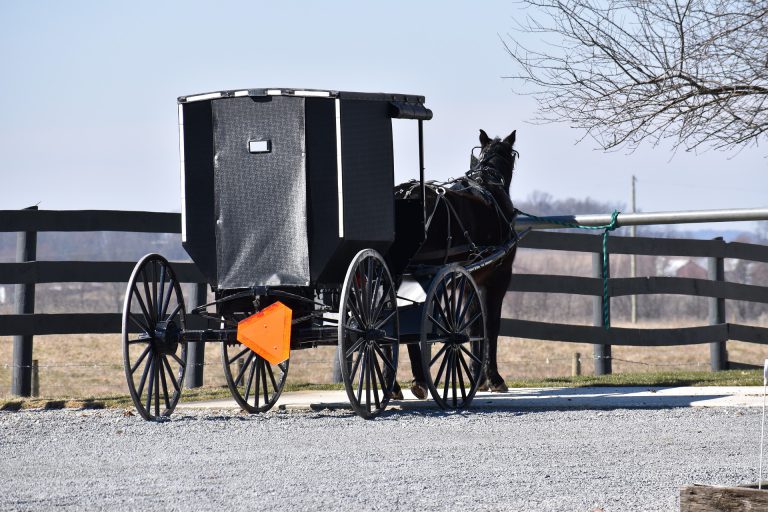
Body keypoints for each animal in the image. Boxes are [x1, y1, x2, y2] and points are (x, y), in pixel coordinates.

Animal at [392, 129, 520, 400]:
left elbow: (475, 325)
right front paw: (494, 378)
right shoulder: (499, 278)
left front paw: (477, 377)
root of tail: (403, 194)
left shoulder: (473, 279)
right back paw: (418, 380)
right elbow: (491, 325)